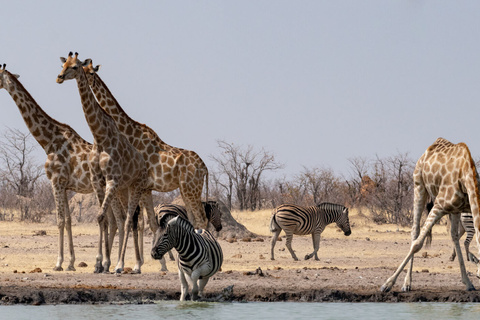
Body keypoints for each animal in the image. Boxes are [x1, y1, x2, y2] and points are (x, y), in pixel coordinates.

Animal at [0, 63, 125, 272]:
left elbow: (59, 221)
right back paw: (111, 264)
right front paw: (71, 263)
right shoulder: (66, 186)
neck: (48, 141)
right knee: (118, 220)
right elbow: (67, 221)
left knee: (118, 219)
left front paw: (58, 263)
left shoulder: (56, 182)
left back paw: (110, 264)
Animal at [55, 52, 148, 272]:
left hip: (137, 187)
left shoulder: (111, 180)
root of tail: (143, 164)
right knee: (126, 219)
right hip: (124, 189)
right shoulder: (98, 180)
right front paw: (99, 263)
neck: (99, 136)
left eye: (75, 67)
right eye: (63, 64)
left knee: (129, 220)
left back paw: (122, 265)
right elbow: (102, 218)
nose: (59, 77)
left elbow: (102, 217)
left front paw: (105, 263)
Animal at [83, 60, 208, 230]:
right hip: (185, 189)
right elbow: (151, 224)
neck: (129, 132)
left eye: (91, 72)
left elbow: (141, 222)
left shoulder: (139, 185)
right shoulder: (146, 188)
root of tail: (204, 167)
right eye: (82, 68)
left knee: (202, 219)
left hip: (192, 189)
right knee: (194, 219)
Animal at [382, 138, 480, 292]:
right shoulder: (438, 206)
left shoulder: (462, 207)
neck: (467, 174)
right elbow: (417, 244)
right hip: (419, 187)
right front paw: (387, 284)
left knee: (454, 236)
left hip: (454, 210)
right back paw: (407, 284)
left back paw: (468, 282)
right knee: (415, 231)